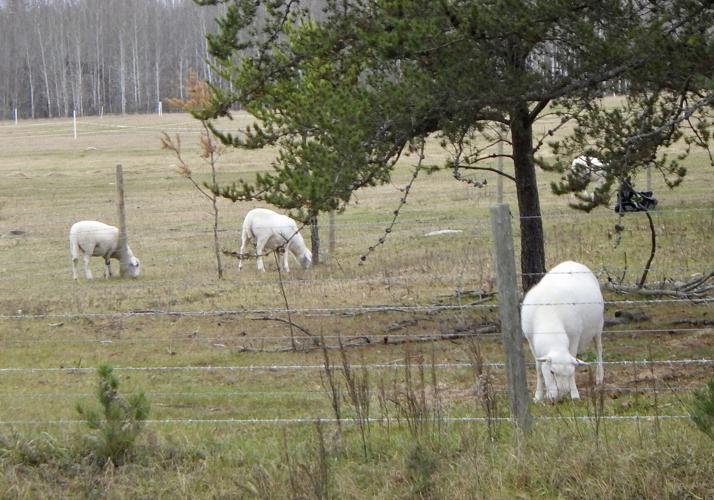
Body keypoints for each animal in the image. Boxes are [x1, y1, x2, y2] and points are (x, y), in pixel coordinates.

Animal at [521, 260, 604, 402]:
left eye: (570, 373)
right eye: (552, 372)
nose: (561, 397)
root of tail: (573, 262)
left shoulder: (574, 337)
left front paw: (574, 394)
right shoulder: (531, 341)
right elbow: (539, 369)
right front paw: (538, 396)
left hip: (598, 326)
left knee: (598, 349)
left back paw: (599, 377)